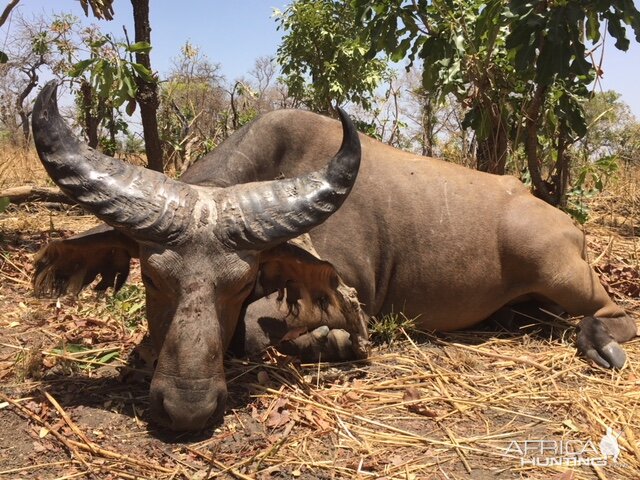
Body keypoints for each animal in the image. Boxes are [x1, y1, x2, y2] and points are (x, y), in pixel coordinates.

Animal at [32, 81, 636, 432]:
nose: (187, 409)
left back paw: (601, 344)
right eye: (153, 278)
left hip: (557, 271)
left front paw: (333, 343)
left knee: (614, 312)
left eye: (241, 283)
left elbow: (259, 332)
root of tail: (564, 223)